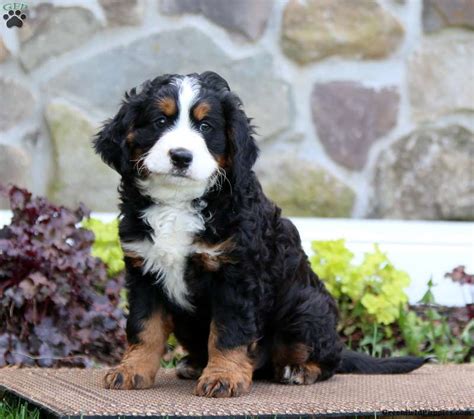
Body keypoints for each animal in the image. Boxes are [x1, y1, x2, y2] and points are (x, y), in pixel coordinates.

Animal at [94, 71, 428, 398]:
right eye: (160, 122)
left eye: (205, 126)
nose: (180, 156)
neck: (178, 202)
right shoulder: (144, 271)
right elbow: (144, 328)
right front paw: (132, 370)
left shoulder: (236, 275)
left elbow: (228, 332)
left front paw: (223, 377)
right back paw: (194, 364)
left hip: (305, 309)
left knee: (327, 359)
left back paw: (300, 370)